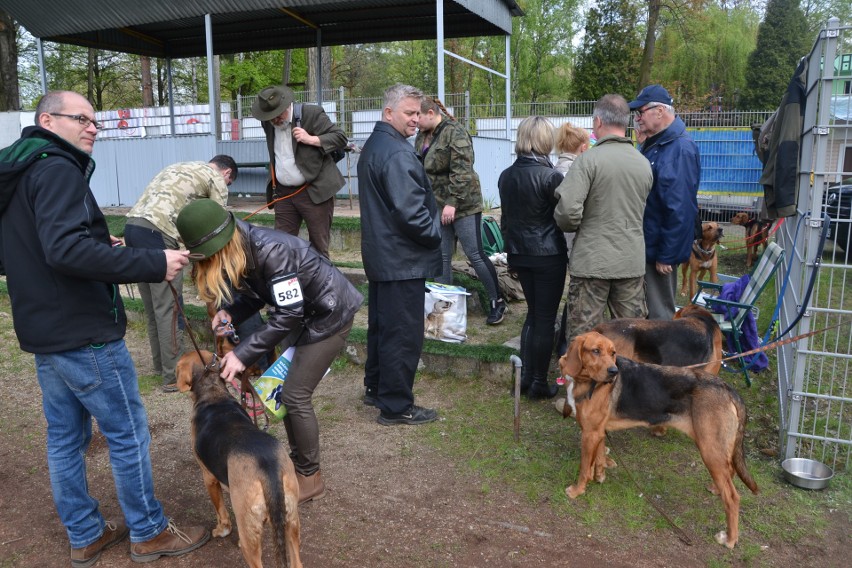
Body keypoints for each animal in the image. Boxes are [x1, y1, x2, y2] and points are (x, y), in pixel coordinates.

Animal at [176, 350, 302, 568]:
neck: (213, 393)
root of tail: (268, 469)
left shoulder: (209, 477)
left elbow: (221, 512)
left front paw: (221, 530)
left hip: (251, 535)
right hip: (291, 522)